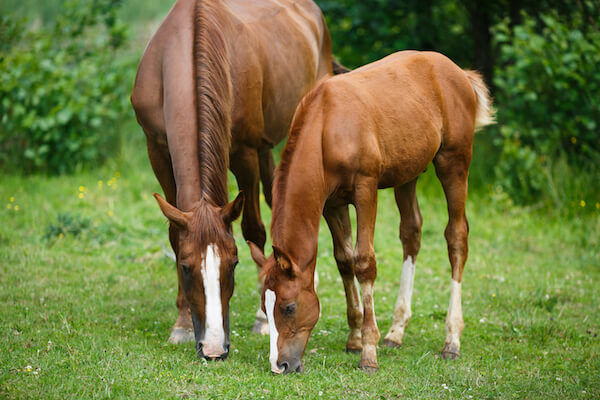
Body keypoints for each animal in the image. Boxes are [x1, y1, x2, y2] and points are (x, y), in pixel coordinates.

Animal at [129, 0, 342, 360]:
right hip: (266, 149)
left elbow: (254, 230)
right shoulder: (156, 149)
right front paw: (182, 323)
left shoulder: (244, 153)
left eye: (234, 263)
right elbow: (174, 233)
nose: (214, 348)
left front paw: (263, 318)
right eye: (185, 267)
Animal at [246, 49, 494, 372]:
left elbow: (364, 262)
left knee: (457, 237)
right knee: (411, 233)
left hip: (454, 162)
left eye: (288, 307)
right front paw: (354, 339)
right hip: (408, 174)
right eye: (265, 307)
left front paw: (368, 352)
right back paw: (396, 332)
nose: (281, 365)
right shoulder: (332, 204)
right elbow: (344, 260)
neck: (328, 127)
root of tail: (457, 72)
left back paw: (451, 339)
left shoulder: (366, 191)